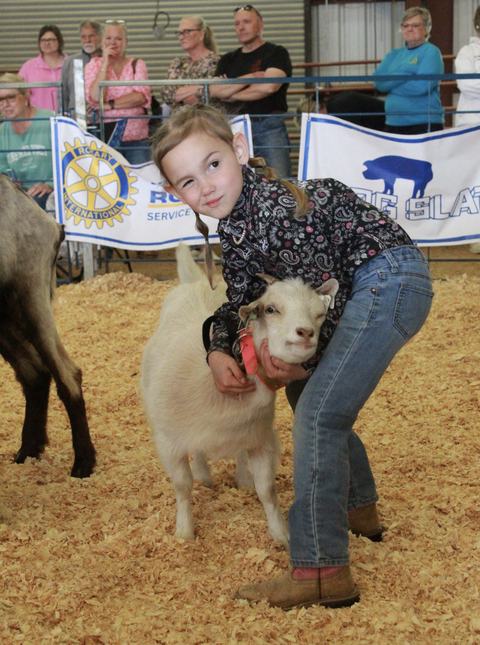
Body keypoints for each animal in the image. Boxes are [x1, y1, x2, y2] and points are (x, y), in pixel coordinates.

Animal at [0, 176, 95, 477]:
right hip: (5, 314)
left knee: (66, 374)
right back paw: (28, 451)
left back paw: (83, 463)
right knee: (34, 374)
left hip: (31, 294)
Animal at [140, 244, 338, 545]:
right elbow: (183, 487)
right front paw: (184, 532)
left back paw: (242, 477)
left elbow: (267, 490)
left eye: (319, 314)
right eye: (271, 309)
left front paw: (281, 534)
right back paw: (204, 475)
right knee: (197, 454)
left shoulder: (261, 439)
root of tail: (199, 282)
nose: (305, 333)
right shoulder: (168, 442)